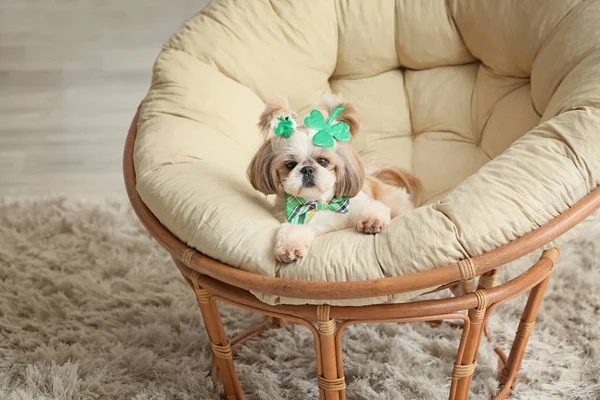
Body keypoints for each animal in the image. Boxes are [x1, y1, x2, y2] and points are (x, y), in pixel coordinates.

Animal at [246, 94, 420, 262]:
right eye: (290, 164)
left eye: (323, 161)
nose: (307, 169)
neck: (319, 204)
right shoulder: (296, 221)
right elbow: (291, 231)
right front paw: (289, 247)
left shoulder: (359, 203)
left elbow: (373, 208)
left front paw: (372, 222)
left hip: (394, 201)